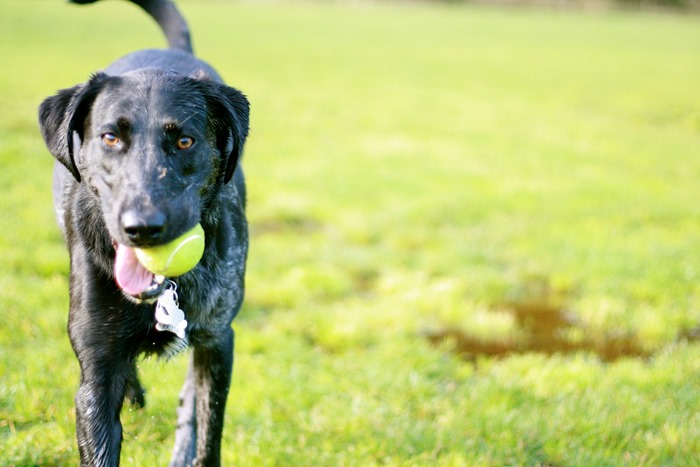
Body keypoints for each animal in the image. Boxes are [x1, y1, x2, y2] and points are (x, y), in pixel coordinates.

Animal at [38, 1, 250, 466]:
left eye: (186, 141)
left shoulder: (217, 344)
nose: (143, 228)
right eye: (110, 138)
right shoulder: (95, 379)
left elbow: (207, 433)